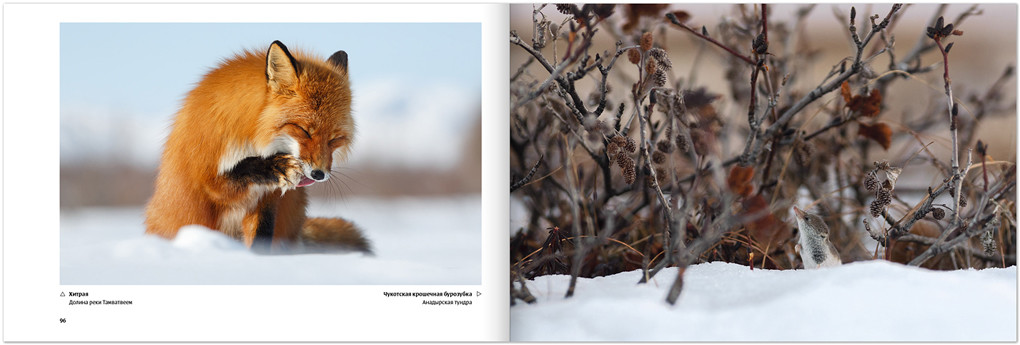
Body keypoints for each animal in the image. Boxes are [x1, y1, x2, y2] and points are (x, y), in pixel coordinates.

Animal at [141, 41, 369, 255]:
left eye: (335, 139)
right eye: (304, 130)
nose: (319, 174)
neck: (252, 137)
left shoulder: (267, 198)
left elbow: (261, 235)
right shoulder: (207, 179)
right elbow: (238, 171)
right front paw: (272, 166)